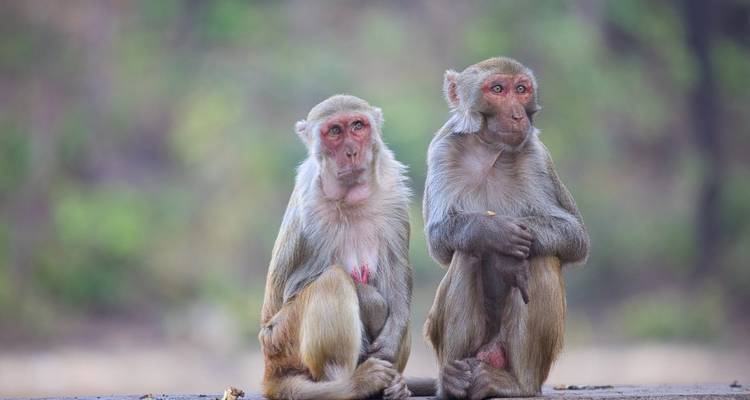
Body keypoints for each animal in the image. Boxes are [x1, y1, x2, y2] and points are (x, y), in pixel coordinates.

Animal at [258, 95, 419, 400]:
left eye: (357, 126)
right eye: (334, 131)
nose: (352, 151)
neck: (349, 198)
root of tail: (270, 369)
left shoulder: (392, 192)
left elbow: (396, 269)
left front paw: (392, 336)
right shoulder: (311, 215)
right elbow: (295, 288)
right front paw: (372, 303)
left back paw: (395, 386)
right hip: (281, 340)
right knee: (332, 280)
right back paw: (349, 385)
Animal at [422, 57, 589, 399]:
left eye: (521, 89)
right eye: (497, 89)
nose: (516, 114)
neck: (489, 150)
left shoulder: (538, 159)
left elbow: (574, 236)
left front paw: (505, 254)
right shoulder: (442, 150)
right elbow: (440, 239)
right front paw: (494, 233)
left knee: (540, 257)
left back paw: (516, 384)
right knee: (466, 252)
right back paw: (454, 381)